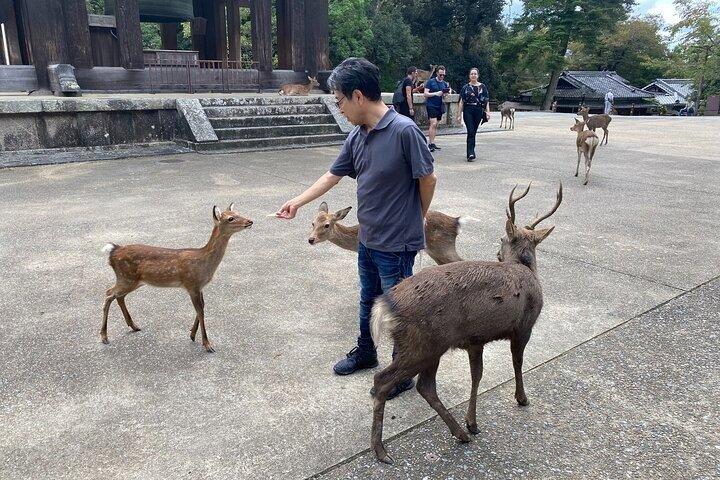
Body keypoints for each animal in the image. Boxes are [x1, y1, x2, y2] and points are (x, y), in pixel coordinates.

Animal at [100, 204, 253, 353]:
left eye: (238, 213)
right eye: (230, 218)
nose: (250, 221)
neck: (204, 263)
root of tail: (113, 251)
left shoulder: (199, 287)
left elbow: (203, 307)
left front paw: (192, 334)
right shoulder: (191, 283)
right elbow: (200, 311)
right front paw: (207, 344)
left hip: (133, 280)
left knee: (119, 296)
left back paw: (133, 326)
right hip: (126, 277)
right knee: (108, 294)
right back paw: (104, 336)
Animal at [308, 202, 464, 266]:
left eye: (326, 225)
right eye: (313, 223)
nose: (311, 239)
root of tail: (456, 222)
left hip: (444, 247)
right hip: (436, 250)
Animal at [368, 182, 562, 464]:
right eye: (502, 239)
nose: (497, 253)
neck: (527, 271)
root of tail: (384, 304)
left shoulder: (475, 340)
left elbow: (476, 375)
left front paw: (472, 422)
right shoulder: (524, 326)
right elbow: (517, 362)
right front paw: (521, 398)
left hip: (429, 346)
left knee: (425, 386)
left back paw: (459, 432)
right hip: (423, 343)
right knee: (383, 380)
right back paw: (381, 450)